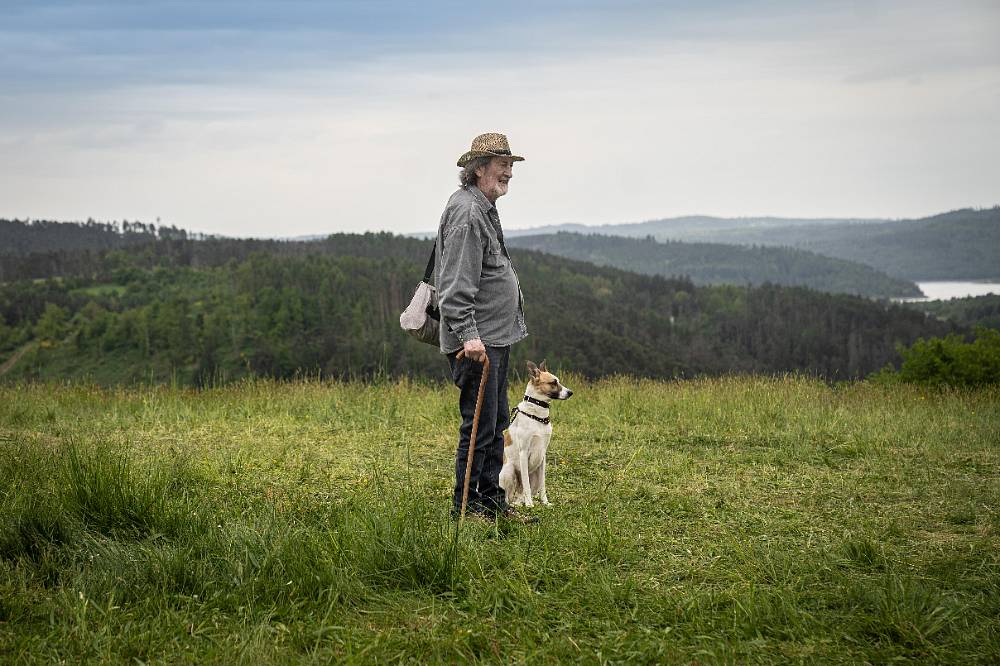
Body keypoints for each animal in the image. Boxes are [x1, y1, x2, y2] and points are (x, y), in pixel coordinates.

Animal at [498, 360, 572, 506]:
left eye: (558, 381)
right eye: (553, 382)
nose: (570, 392)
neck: (537, 416)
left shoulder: (543, 455)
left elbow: (543, 485)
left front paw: (545, 503)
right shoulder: (524, 452)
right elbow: (526, 484)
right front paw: (530, 504)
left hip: (534, 476)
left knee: (520, 495)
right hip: (509, 471)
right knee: (509, 496)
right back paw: (518, 504)